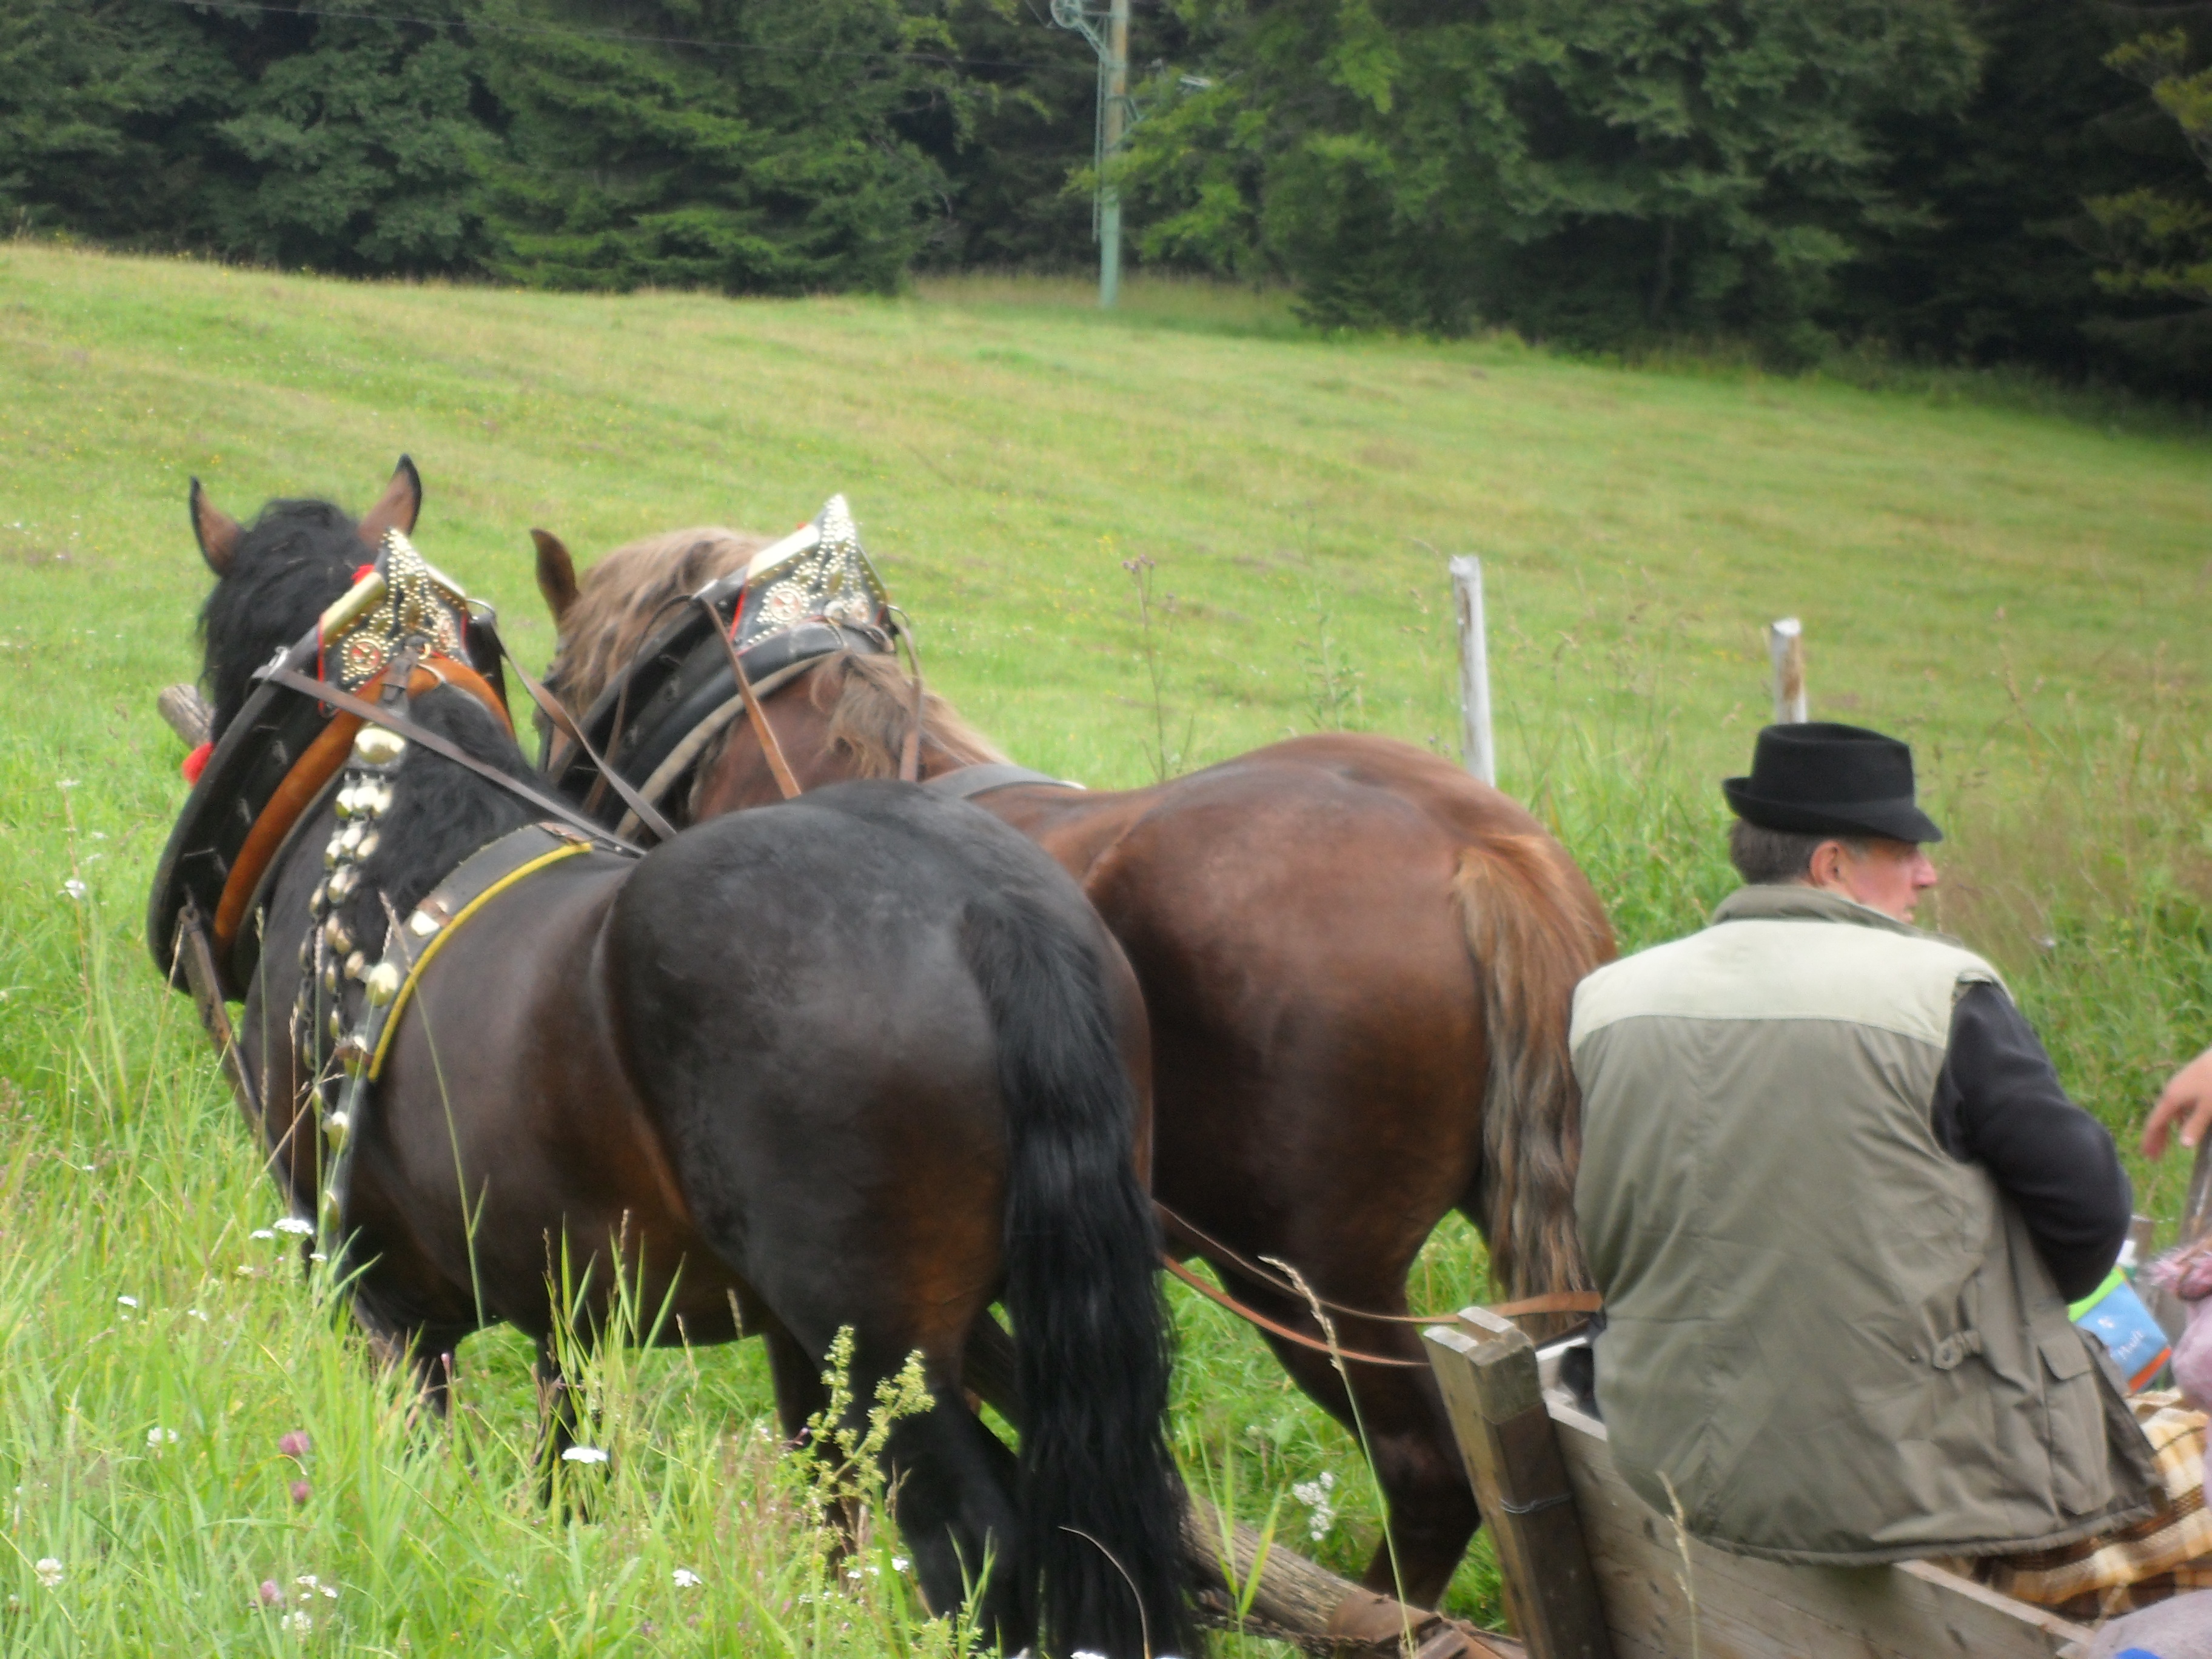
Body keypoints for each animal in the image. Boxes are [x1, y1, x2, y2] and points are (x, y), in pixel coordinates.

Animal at [158, 470, 1193, 1659]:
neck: (389, 820)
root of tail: (988, 911)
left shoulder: (370, 1286)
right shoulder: (576, 1303)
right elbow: (611, 1467)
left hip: (883, 1351)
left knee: (976, 1543)